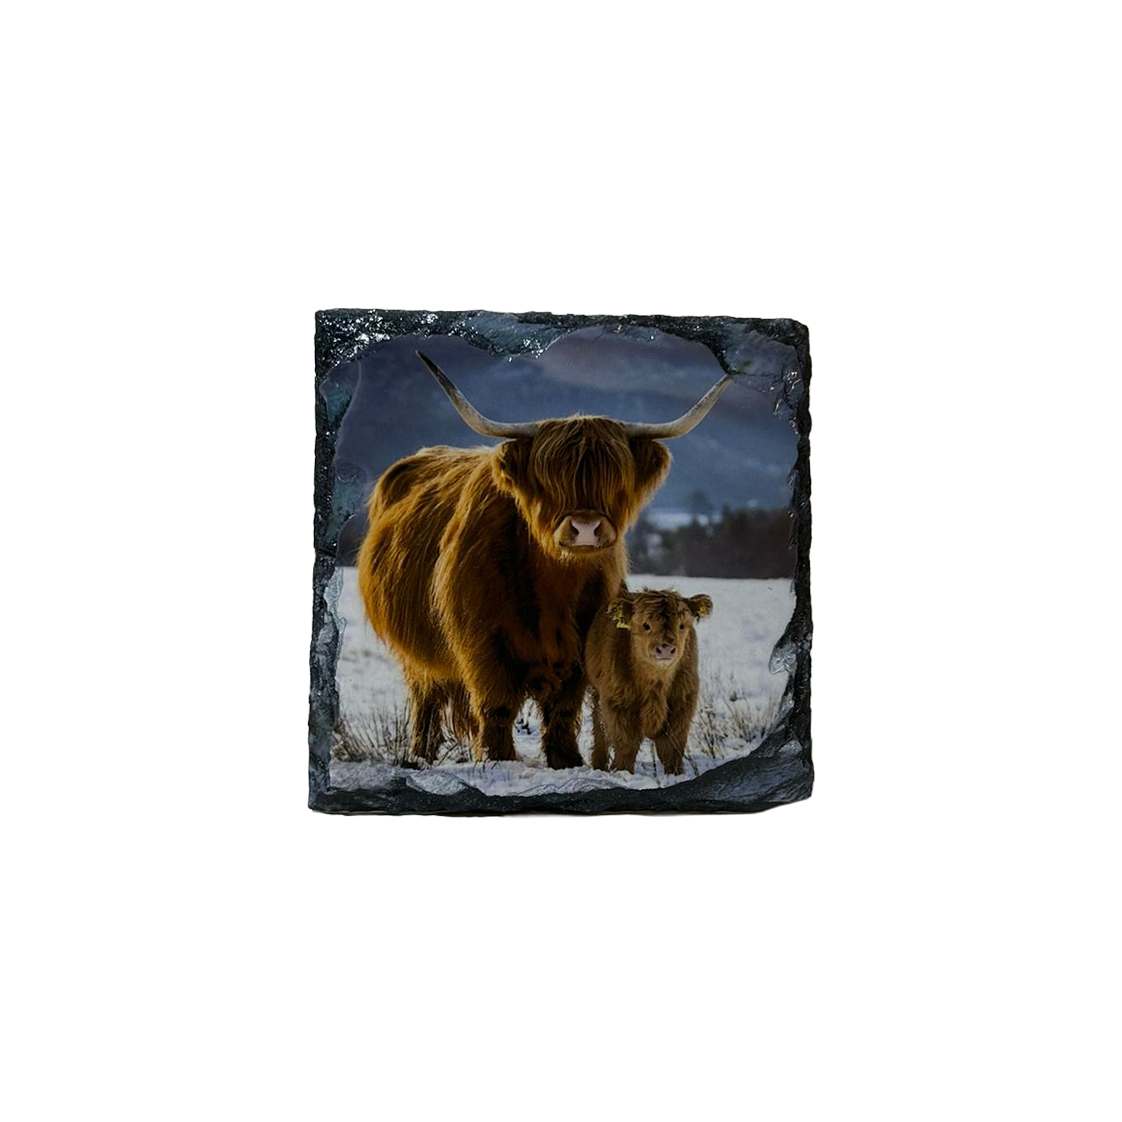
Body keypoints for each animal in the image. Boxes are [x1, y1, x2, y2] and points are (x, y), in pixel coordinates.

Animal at [585, 587, 714, 775]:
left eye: (682, 625)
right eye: (646, 625)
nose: (666, 648)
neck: (656, 685)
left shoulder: (683, 702)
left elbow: (671, 745)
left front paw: (675, 773)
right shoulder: (617, 703)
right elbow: (626, 744)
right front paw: (622, 771)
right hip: (596, 692)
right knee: (600, 731)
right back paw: (599, 766)